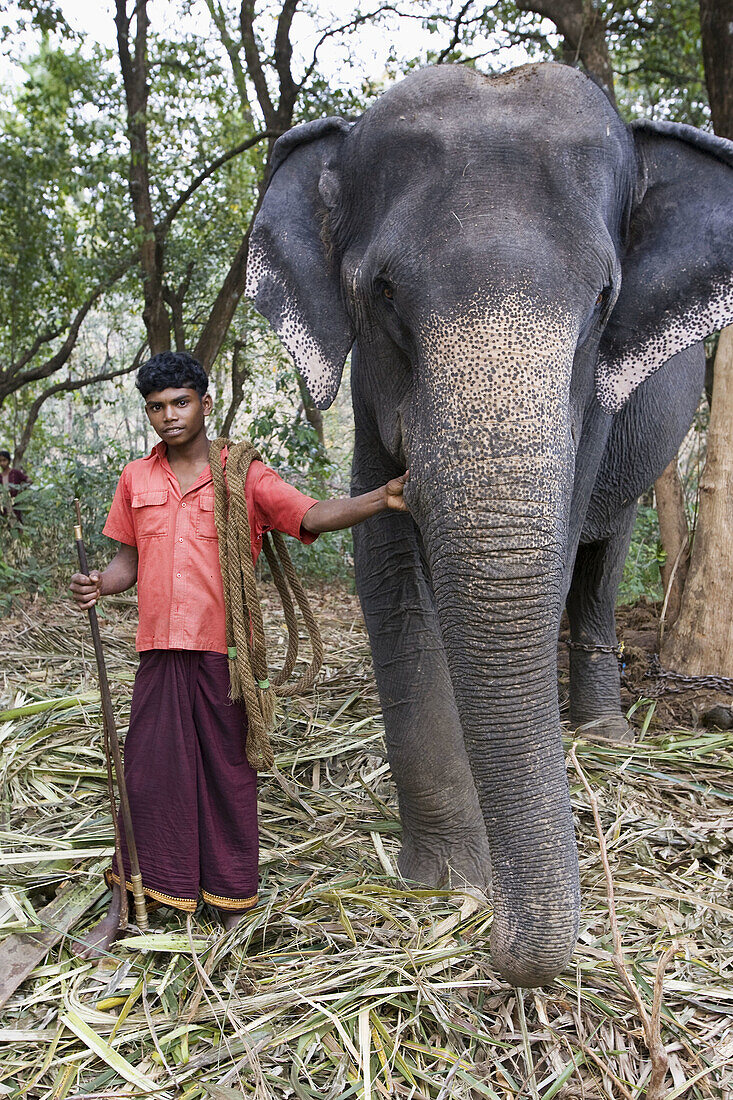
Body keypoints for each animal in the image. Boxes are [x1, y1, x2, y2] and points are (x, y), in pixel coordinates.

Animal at [244, 60, 730, 990]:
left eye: (603, 300)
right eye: (382, 292)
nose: (501, 945)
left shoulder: (595, 408)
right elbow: (386, 570)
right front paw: (446, 880)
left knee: (600, 558)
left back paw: (599, 734)